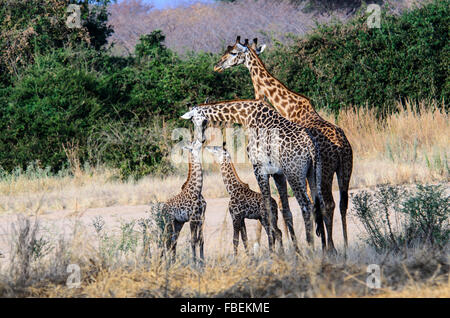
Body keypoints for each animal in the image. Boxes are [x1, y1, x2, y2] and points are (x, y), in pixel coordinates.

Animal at [181, 99, 326, 251]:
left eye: (198, 120)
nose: (201, 139)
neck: (247, 116)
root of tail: (311, 146)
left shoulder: (259, 168)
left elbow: (267, 208)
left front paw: (273, 251)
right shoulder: (278, 173)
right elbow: (286, 211)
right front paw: (294, 251)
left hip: (294, 174)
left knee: (306, 206)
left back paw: (310, 248)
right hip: (313, 172)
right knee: (320, 205)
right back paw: (326, 249)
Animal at [213, 36, 354, 252]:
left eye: (233, 52)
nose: (217, 65)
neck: (287, 106)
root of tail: (341, 146)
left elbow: (280, 203)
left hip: (325, 172)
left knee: (326, 204)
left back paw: (328, 247)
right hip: (345, 169)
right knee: (341, 203)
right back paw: (342, 246)